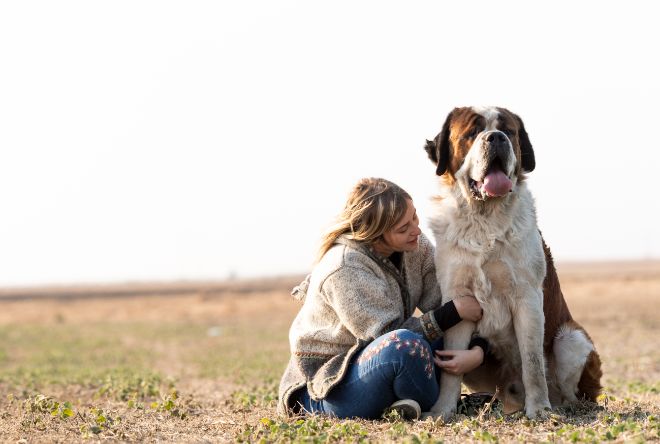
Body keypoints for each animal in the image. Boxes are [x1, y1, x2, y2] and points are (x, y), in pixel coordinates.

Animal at [422, 106, 604, 418]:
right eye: (472, 132)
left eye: (508, 131)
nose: (496, 138)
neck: (484, 219)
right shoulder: (459, 299)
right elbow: (450, 369)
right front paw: (441, 411)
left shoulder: (527, 297)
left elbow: (532, 361)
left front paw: (539, 409)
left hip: (572, 339)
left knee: (571, 391)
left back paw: (562, 406)